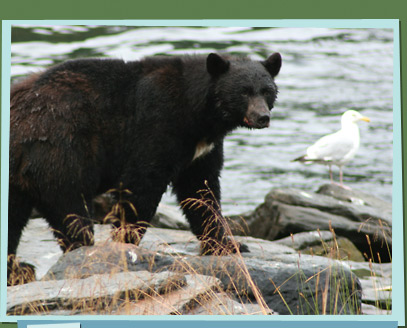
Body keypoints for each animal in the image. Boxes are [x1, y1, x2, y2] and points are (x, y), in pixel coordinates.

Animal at [7, 52, 282, 284]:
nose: (262, 117)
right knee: (71, 209)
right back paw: (79, 253)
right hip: (61, 150)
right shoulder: (157, 126)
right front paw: (126, 244)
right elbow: (142, 185)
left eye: (267, 91)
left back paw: (17, 269)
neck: (198, 114)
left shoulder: (202, 150)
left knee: (14, 219)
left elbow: (201, 192)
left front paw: (228, 245)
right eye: (244, 92)